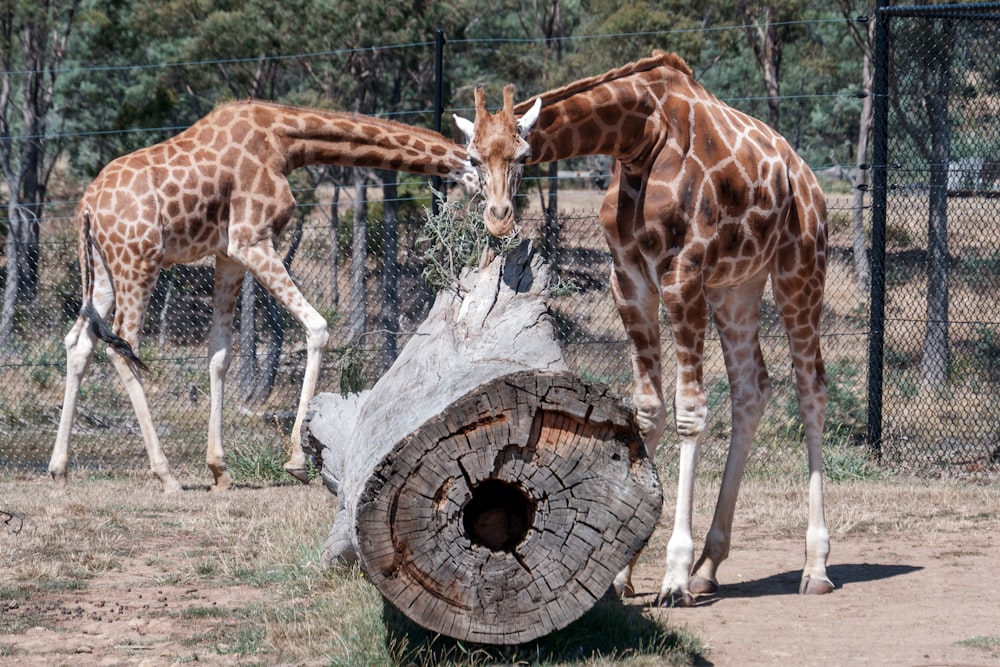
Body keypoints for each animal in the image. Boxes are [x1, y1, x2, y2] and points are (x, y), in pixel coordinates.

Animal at [50, 100, 476, 496]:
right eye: (478, 159)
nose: (489, 205)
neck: (284, 141)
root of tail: (85, 206)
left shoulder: (227, 252)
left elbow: (220, 353)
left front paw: (219, 470)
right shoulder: (251, 240)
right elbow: (317, 327)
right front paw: (297, 460)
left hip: (103, 270)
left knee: (79, 341)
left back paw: (59, 470)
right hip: (138, 262)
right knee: (123, 344)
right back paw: (165, 474)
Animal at [458, 51, 832, 604]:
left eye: (523, 156)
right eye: (473, 159)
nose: (500, 218)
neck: (638, 139)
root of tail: (805, 176)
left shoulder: (682, 274)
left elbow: (690, 413)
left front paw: (672, 575)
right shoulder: (628, 279)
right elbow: (649, 409)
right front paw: (622, 574)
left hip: (799, 268)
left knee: (810, 388)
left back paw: (814, 566)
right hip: (738, 285)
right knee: (752, 387)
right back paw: (708, 567)